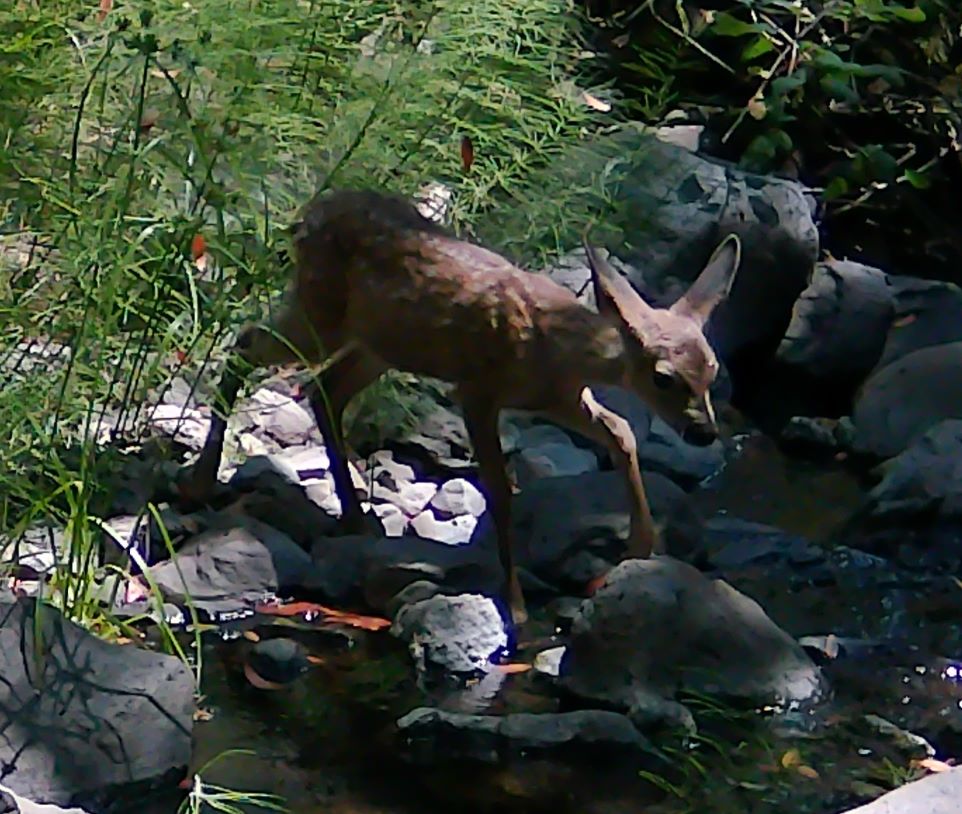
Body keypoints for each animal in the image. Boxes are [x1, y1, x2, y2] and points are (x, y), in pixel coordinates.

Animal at [177, 188, 741, 625]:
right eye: (663, 377)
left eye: (713, 370)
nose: (705, 433)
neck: (554, 350)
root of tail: (307, 214)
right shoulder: (477, 390)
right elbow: (501, 489)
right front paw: (515, 605)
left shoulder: (560, 398)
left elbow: (622, 429)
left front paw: (641, 546)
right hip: (322, 314)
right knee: (249, 340)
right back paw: (202, 480)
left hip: (380, 342)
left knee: (323, 390)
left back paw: (357, 518)